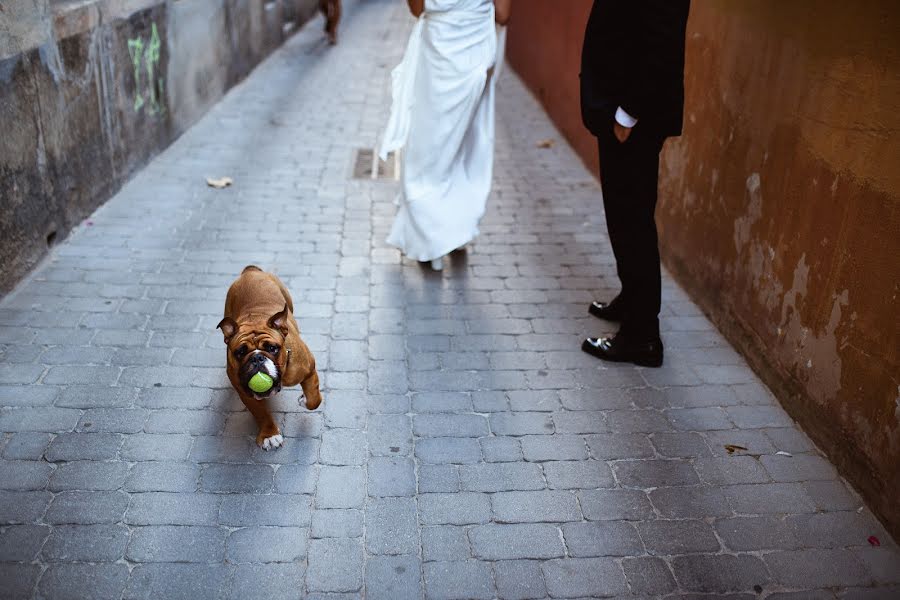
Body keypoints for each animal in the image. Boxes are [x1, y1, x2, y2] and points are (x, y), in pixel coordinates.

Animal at [217, 268, 322, 450]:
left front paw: (305, 399)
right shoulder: (245, 392)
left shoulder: (309, 370)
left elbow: (314, 399)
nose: (257, 358)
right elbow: (261, 413)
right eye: (240, 352)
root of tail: (250, 270)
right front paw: (269, 434)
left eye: (272, 348)